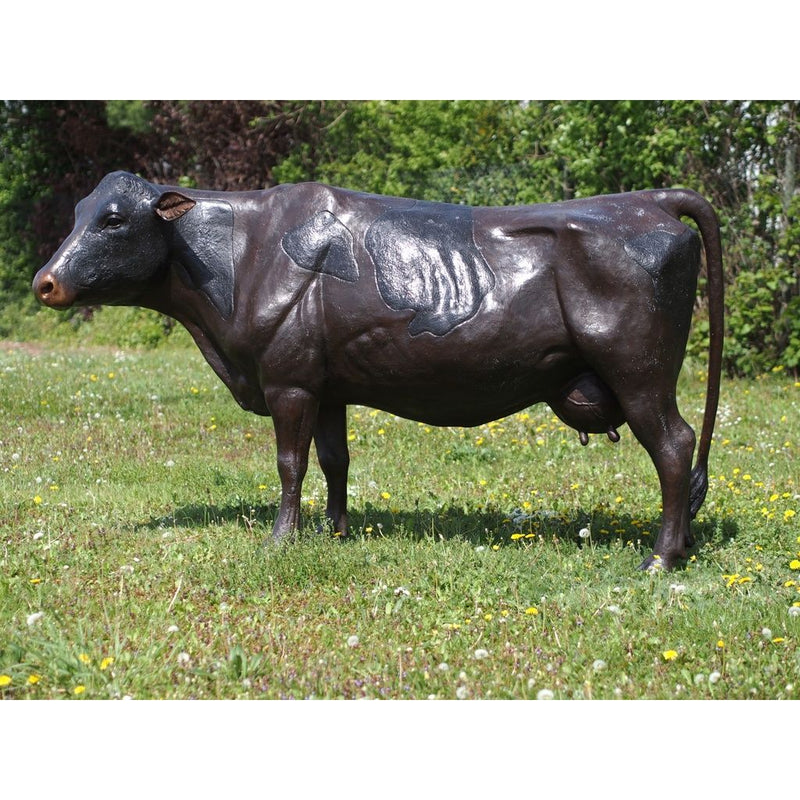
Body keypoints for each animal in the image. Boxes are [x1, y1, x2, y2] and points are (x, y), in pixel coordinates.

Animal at [32, 171, 723, 571]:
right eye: (78, 212)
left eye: (114, 219)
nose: (46, 282)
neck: (240, 255)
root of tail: (648, 199)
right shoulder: (327, 386)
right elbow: (335, 460)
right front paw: (336, 532)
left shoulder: (287, 380)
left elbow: (290, 463)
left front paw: (280, 540)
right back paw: (681, 545)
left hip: (639, 370)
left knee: (674, 445)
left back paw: (661, 560)